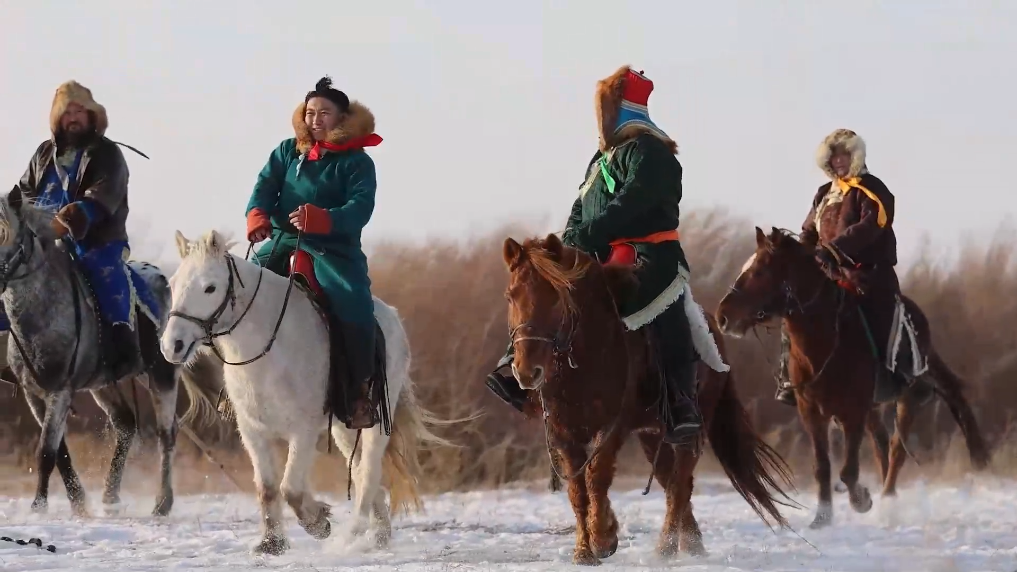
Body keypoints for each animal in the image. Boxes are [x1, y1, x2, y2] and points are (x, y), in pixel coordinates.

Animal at [0, 194, 218, 517]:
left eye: (7, 233)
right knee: (126, 425)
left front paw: (39, 506)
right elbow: (60, 451)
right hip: (103, 385)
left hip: (162, 375)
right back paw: (110, 496)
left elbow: (46, 451)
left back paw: (162, 502)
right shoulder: (34, 394)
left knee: (166, 433)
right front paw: (78, 502)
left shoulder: (60, 392)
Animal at [161, 229, 462, 555]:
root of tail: (391, 315)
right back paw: (379, 535)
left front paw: (318, 522)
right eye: (173, 284)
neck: (267, 346)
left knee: (368, 475)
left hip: (377, 422)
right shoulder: (253, 431)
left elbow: (290, 487)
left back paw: (351, 537)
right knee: (362, 472)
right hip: (345, 428)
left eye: (210, 287)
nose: (172, 345)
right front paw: (272, 543)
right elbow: (267, 487)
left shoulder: (302, 431)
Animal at [501, 233, 796, 566]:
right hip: (652, 433)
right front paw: (584, 551)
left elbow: (597, 476)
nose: (527, 371)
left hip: (690, 430)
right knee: (671, 481)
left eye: (554, 297)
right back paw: (691, 544)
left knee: (680, 482)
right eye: (511, 296)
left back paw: (666, 548)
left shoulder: (612, 428)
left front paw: (603, 539)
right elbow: (577, 489)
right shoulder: (564, 433)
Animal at [715, 227, 991, 528]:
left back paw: (888, 499)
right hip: (872, 410)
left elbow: (849, 470)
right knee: (882, 445)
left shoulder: (853, 412)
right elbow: (822, 466)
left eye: (760, 271)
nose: (723, 317)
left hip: (905, 399)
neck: (825, 341)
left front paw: (861, 501)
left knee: (896, 449)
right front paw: (823, 517)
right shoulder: (812, 412)